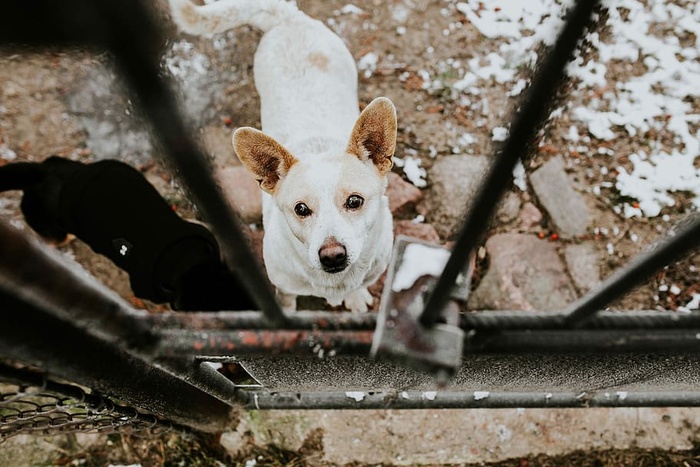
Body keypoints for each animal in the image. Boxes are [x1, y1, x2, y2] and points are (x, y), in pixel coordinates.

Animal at [167, 1, 396, 314]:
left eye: (354, 201)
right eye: (301, 209)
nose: (332, 256)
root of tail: (287, 17)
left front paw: (356, 296)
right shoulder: (284, 287)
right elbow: (286, 302)